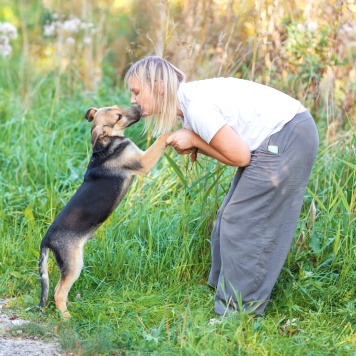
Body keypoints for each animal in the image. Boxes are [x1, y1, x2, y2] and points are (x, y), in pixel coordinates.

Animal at [39, 105, 171, 318]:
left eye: (118, 108)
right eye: (118, 116)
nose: (139, 107)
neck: (106, 144)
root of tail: (46, 239)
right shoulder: (143, 161)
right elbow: (160, 140)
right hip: (74, 263)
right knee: (58, 291)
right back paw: (66, 316)